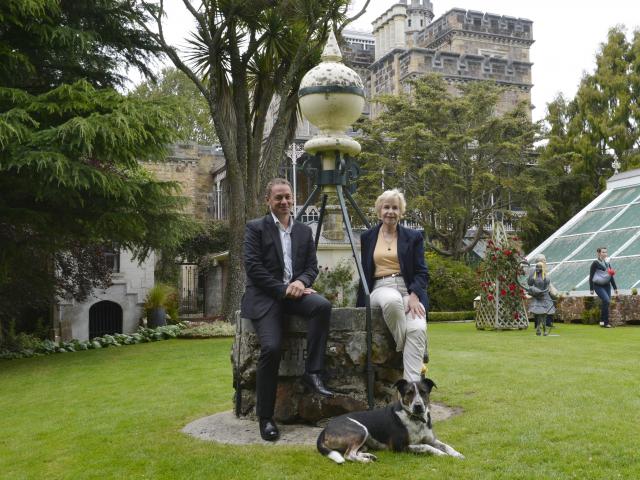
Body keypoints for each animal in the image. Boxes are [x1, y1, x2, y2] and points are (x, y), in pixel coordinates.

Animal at [316, 376, 462, 464]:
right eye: (409, 393)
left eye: (423, 392)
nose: (418, 406)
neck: (415, 419)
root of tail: (325, 428)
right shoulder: (400, 446)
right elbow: (426, 446)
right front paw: (441, 454)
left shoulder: (431, 439)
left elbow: (446, 446)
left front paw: (457, 454)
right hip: (361, 430)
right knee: (348, 455)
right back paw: (366, 461)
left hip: (364, 442)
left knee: (353, 452)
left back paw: (368, 456)